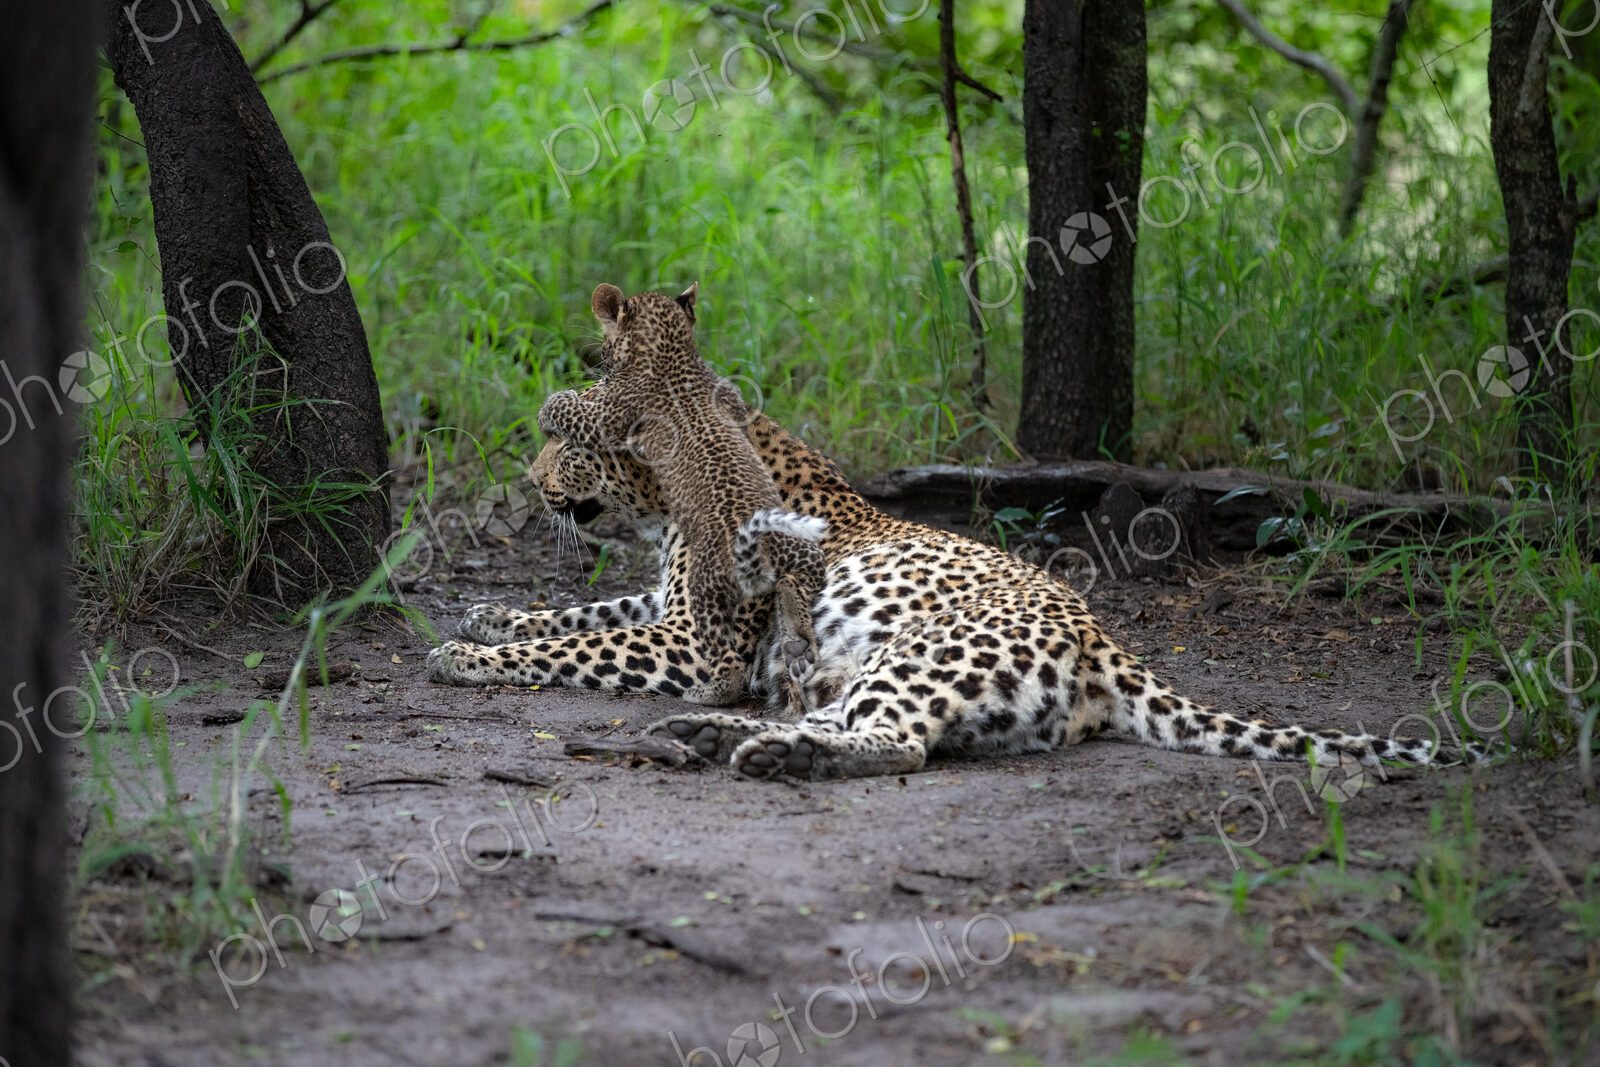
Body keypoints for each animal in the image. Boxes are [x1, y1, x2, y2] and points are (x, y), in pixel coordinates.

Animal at [430, 403, 1479, 782]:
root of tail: (1105, 644)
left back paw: (763, 750)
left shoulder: (697, 645)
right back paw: (716, 737)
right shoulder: (670, 612)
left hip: (921, 652)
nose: (529, 476)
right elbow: (581, 613)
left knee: (896, 744)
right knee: (852, 721)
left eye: (567, 440)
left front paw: (469, 653)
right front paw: (486, 615)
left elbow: (571, 647)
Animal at [534, 282, 827, 711]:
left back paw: (711, 692)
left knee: (725, 660)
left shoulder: (612, 414)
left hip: (704, 610)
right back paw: (799, 644)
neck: (674, 356)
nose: (534, 480)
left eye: (567, 450)